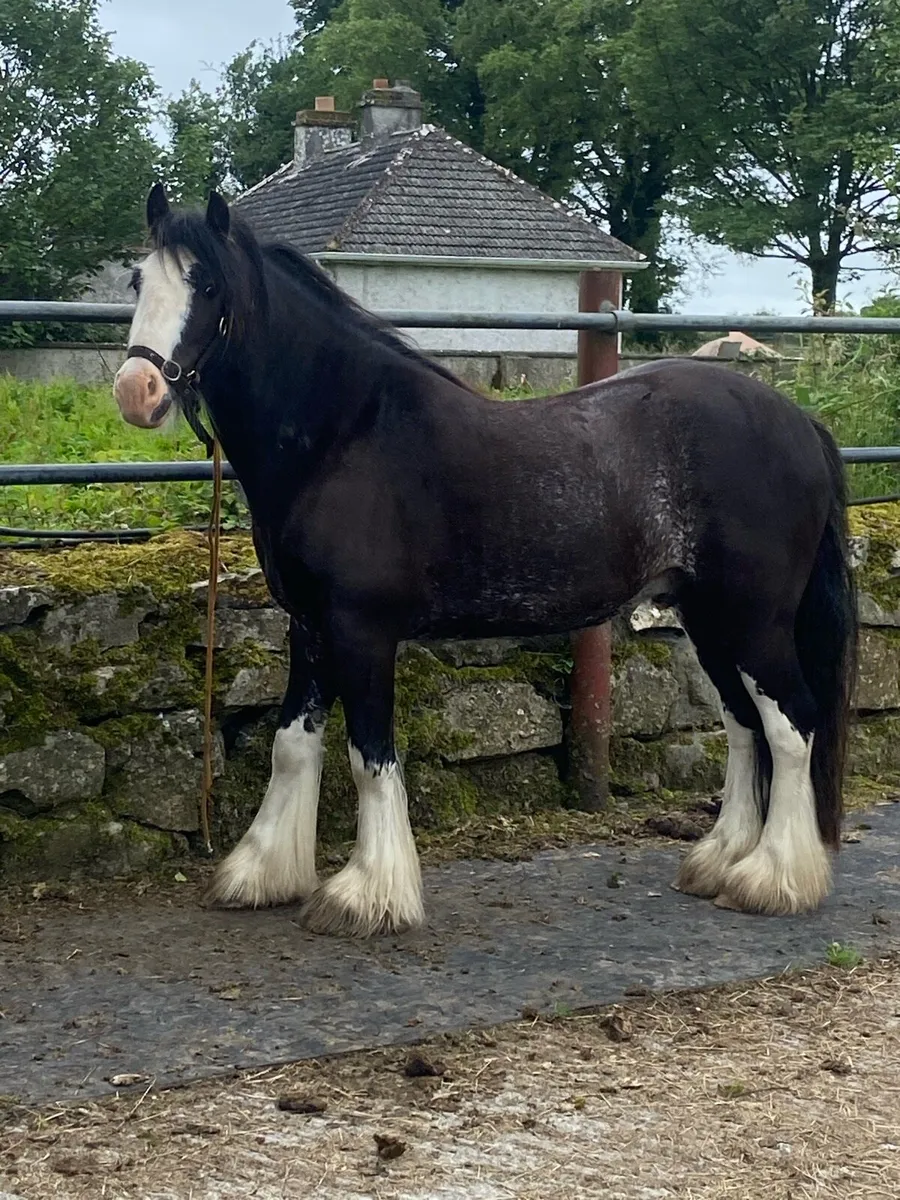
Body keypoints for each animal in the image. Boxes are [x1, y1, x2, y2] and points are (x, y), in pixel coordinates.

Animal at [113, 185, 857, 938]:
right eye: (139, 282)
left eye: (206, 285)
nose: (135, 391)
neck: (345, 434)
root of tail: (800, 422)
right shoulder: (309, 625)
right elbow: (293, 744)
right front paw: (263, 873)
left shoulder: (361, 629)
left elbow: (369, 757)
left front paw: (368, 895)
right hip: (709, 619)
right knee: (743, 726)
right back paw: (722, 861)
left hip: (754, 619)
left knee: (791, 725)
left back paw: (773, 880)